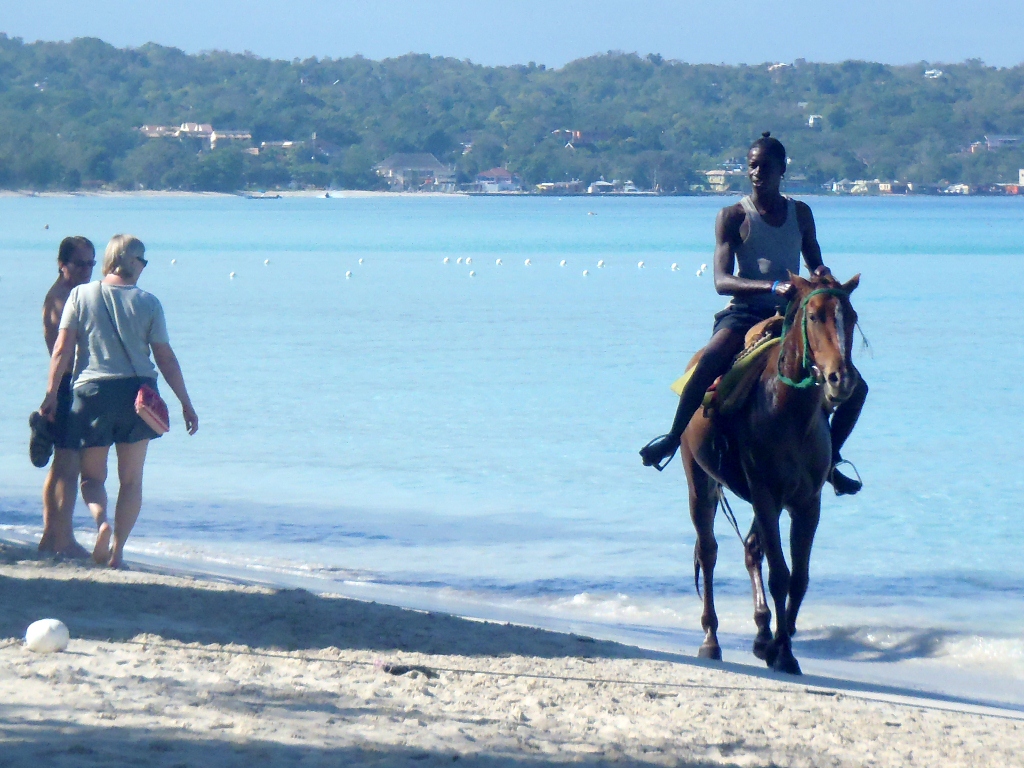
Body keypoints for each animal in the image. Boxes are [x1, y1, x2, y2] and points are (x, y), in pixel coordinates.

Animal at [684, 270, 860, 671]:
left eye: (852, 317)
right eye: (814, 316)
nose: (840, 379)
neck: (789, 411)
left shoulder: (806, 504)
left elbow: (799, 578)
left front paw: (779, 645)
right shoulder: (765, 495)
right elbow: (780, 575)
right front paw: (784, 653)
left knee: (751, 548)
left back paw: (762, 634)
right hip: (699, 483)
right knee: (709, 551)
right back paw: (711, 639)